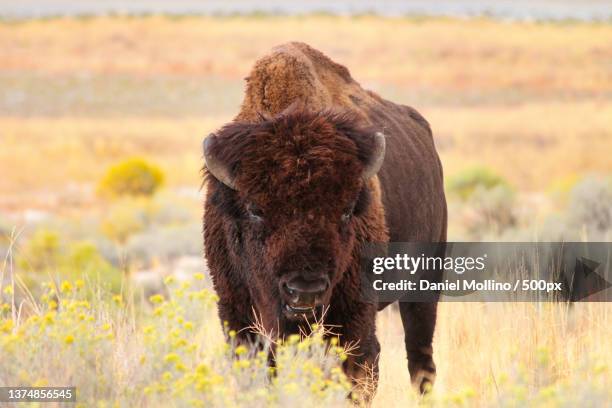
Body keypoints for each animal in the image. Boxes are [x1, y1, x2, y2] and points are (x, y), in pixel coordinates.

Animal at [203, 42, 448, 398]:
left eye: (346, 210)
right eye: (254, 210)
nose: (305, 290)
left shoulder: (354, 317)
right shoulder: (237, 312)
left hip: (424, 283)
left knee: (420, 359)